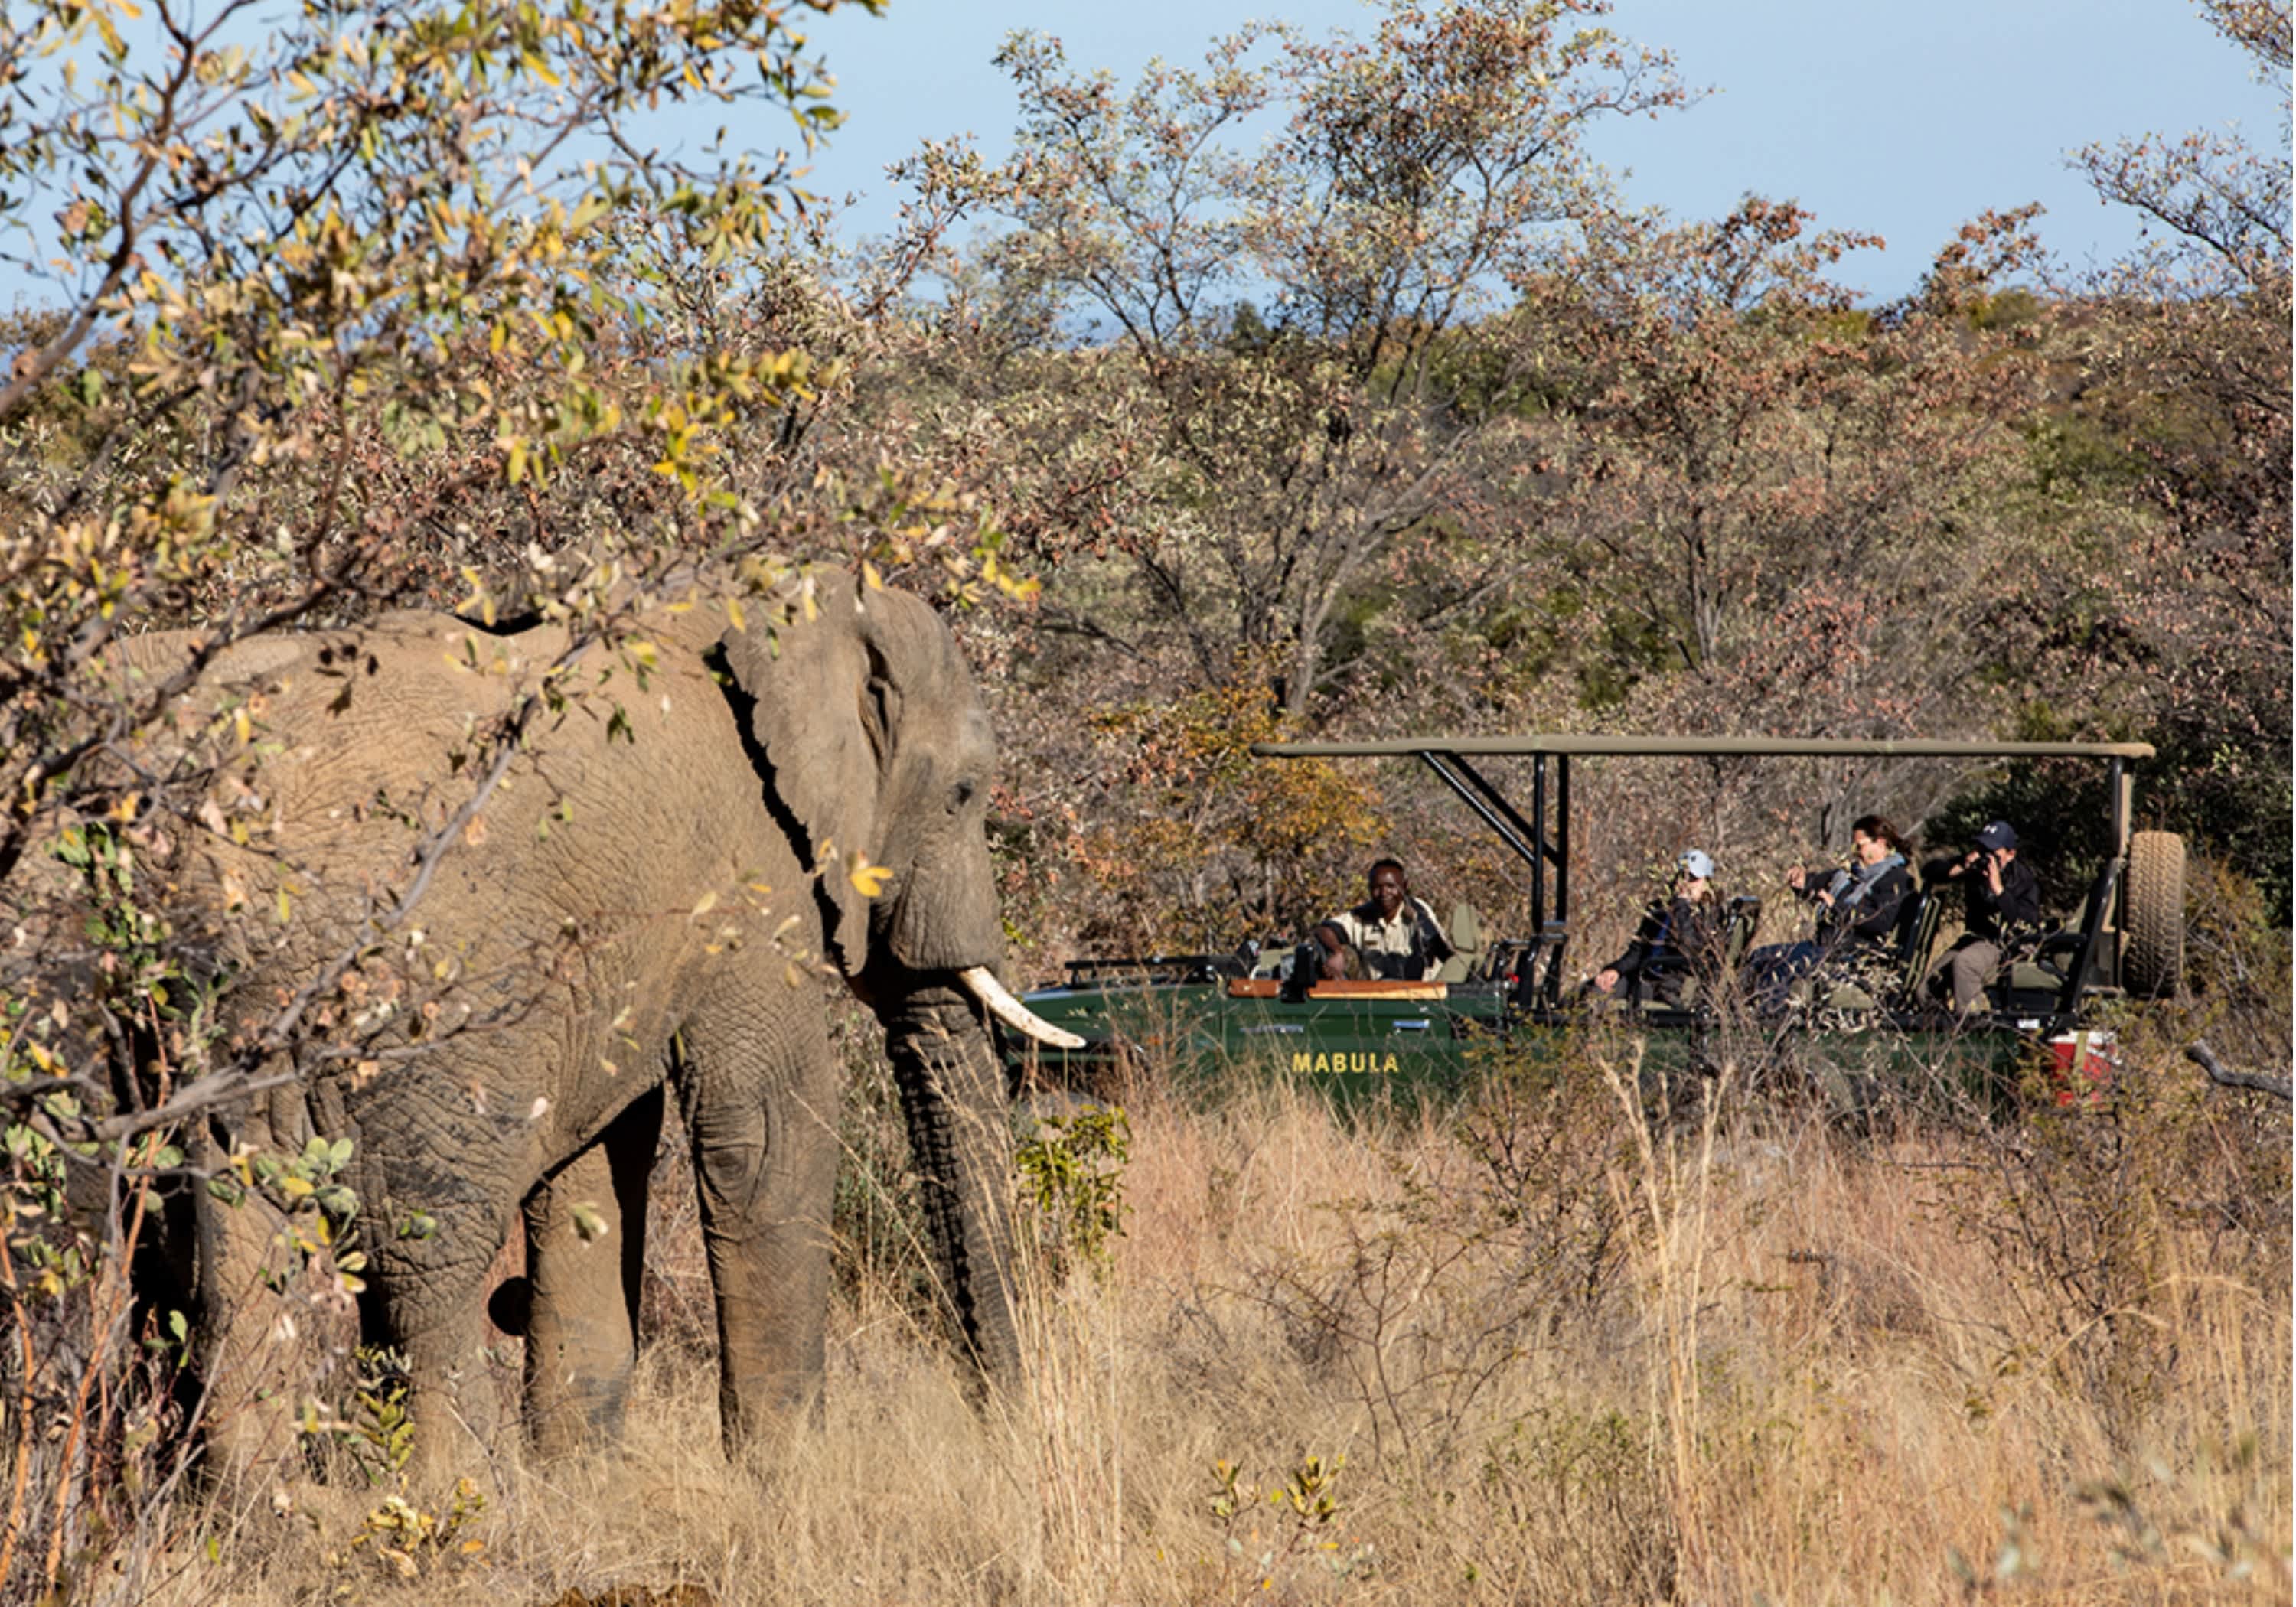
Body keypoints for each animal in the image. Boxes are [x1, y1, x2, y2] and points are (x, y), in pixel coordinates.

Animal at [101, 574, 1075, 1478]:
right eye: (963, 793)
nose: (1007, 1440)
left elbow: (601, 1159)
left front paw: (584, 1478)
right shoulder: (750, 866)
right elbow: (765, 1130)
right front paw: (790, 1476)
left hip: (231, 1026)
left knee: (236, 1250)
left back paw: (265, 1514)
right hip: (406, 1000)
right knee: (427, 1260)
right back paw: (468, 1506)